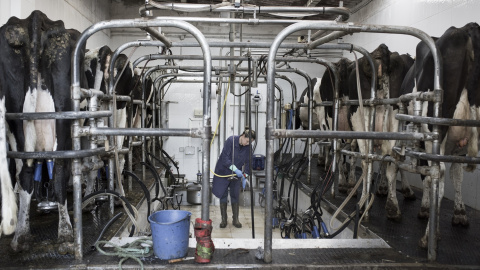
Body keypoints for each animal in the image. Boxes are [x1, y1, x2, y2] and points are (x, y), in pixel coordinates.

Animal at [398, 22, 480, 247]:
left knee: (438, 174)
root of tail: (467, 27)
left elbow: (429, 176)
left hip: (433, 128)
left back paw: (429, 236)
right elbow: (457, 176)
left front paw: (426, 209)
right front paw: (460, 213)